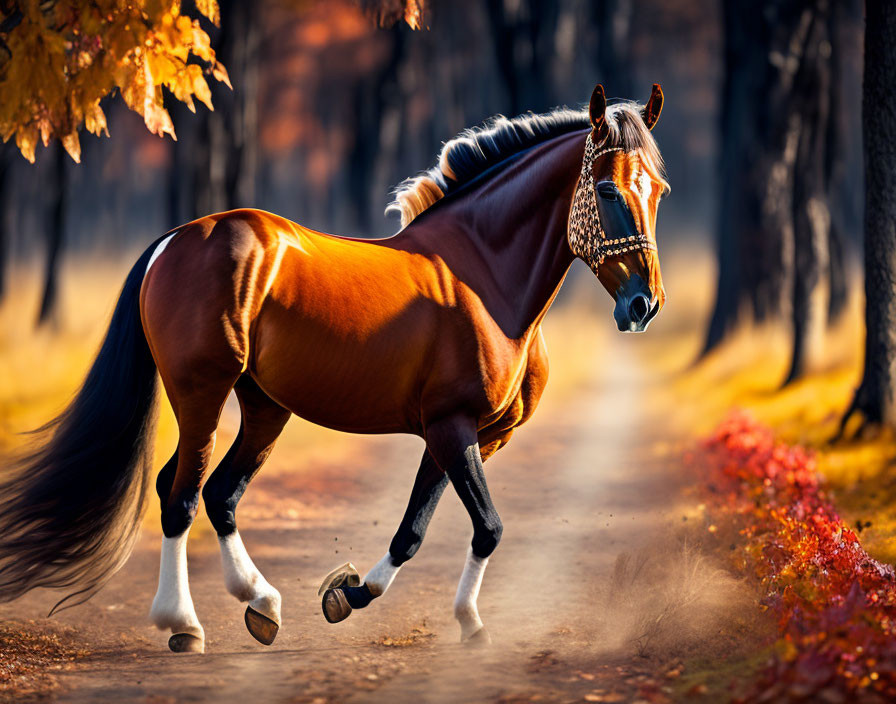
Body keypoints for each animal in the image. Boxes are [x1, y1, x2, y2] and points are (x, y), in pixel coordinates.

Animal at [0, 84, 664, 656]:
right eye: (607, 191)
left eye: (658, 190)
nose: (643, 305)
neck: (483, 275)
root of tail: (176, 238)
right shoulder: (453, 426)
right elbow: (487, 526)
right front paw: (465, 623)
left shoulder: (469, 435)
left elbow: (416, 530)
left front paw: (351, 595)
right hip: (202, 394)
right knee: (181, 495)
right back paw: (184, 625)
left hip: (265, 407)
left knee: (218, 494)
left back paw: (262, 604)